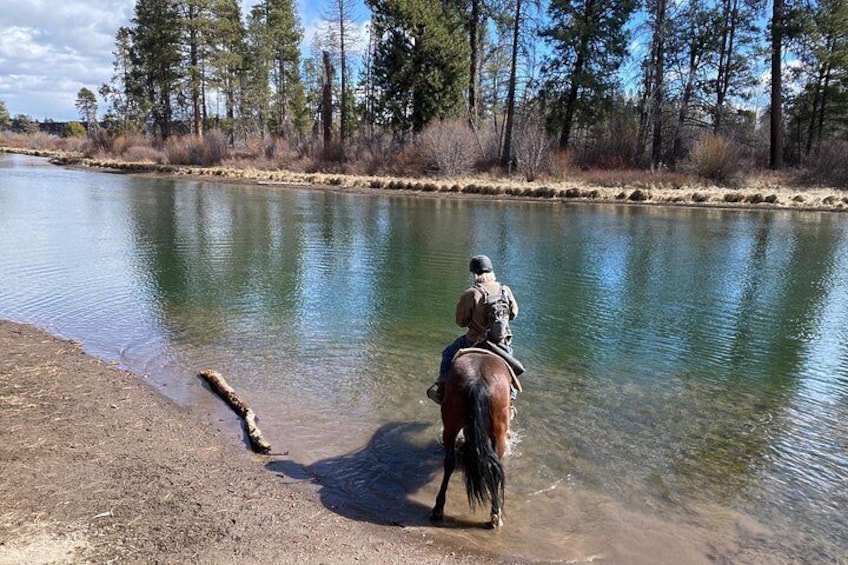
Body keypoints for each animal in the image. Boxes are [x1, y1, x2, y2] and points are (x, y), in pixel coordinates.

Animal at [430, 348, 512, 529]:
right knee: (494, 468)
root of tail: (477, 382)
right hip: (499, 432)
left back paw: (439, 508)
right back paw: (495, 514)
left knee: (450, 462)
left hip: (452, 423)